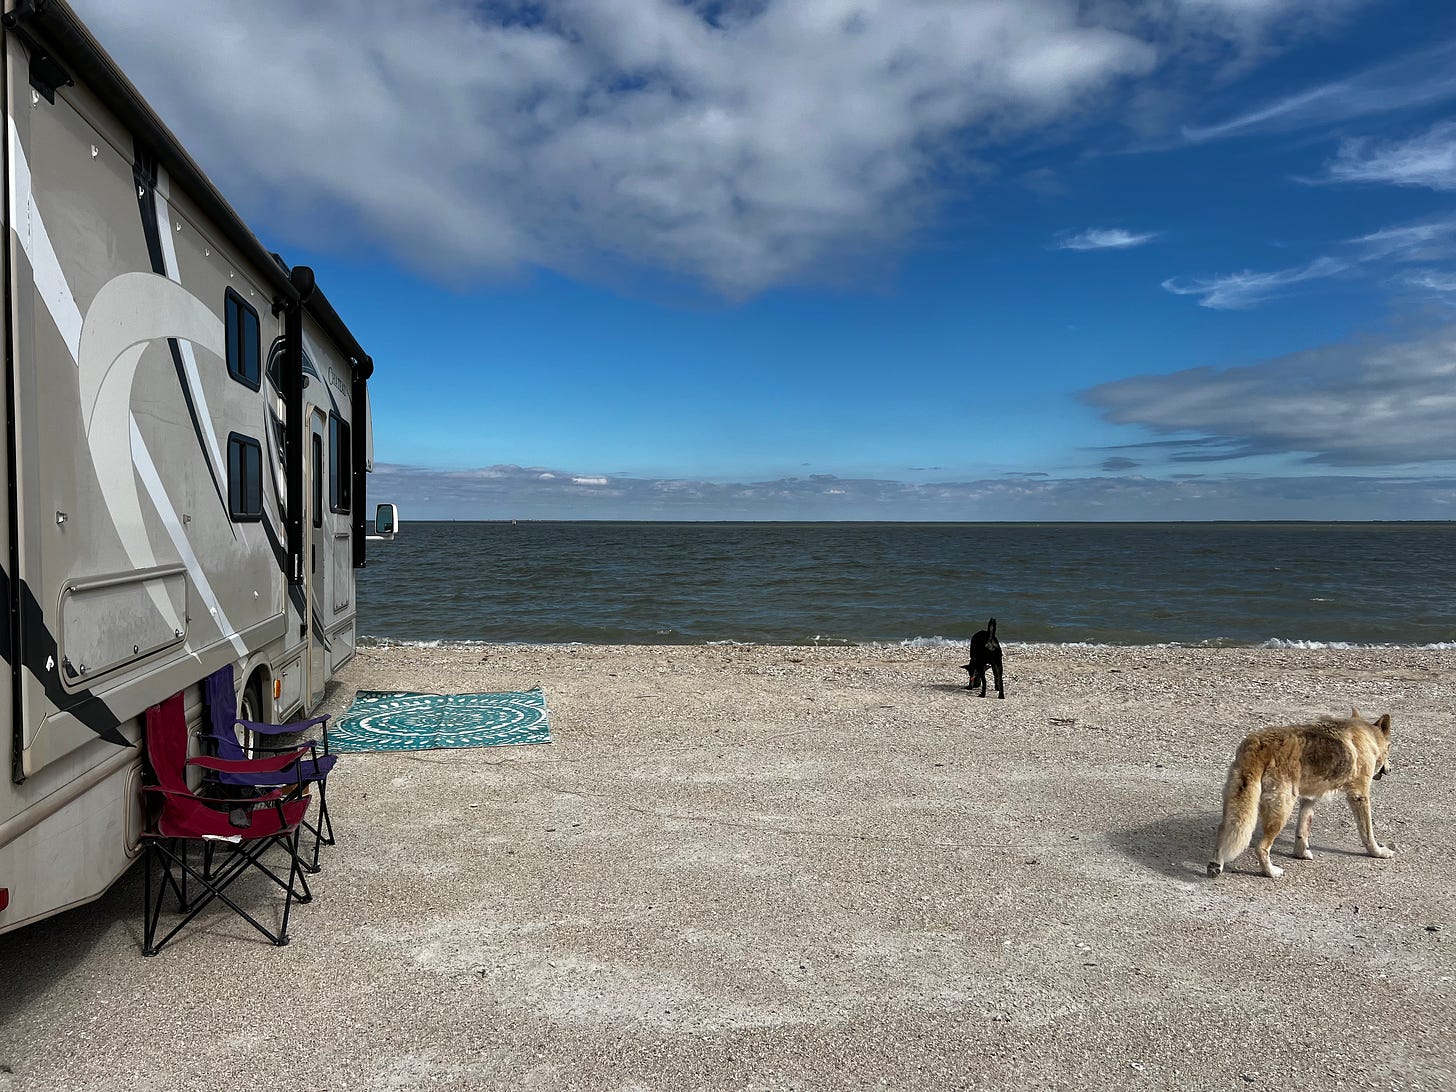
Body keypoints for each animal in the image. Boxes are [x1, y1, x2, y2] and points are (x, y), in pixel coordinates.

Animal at [1211, 710, 1391, 879]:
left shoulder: (1309, 800)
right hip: (1281, 811)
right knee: (1261, 848)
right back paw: (1270, 872)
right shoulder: (1359, 796)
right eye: (1389, 748)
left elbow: (1302, 831)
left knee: (1222, 831)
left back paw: (1215, 864)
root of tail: (1258, 744)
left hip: (1238, 806)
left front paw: (1300, 853)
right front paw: (1378, 852)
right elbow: (1368, 833)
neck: (1365, 735)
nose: (1389, 770)